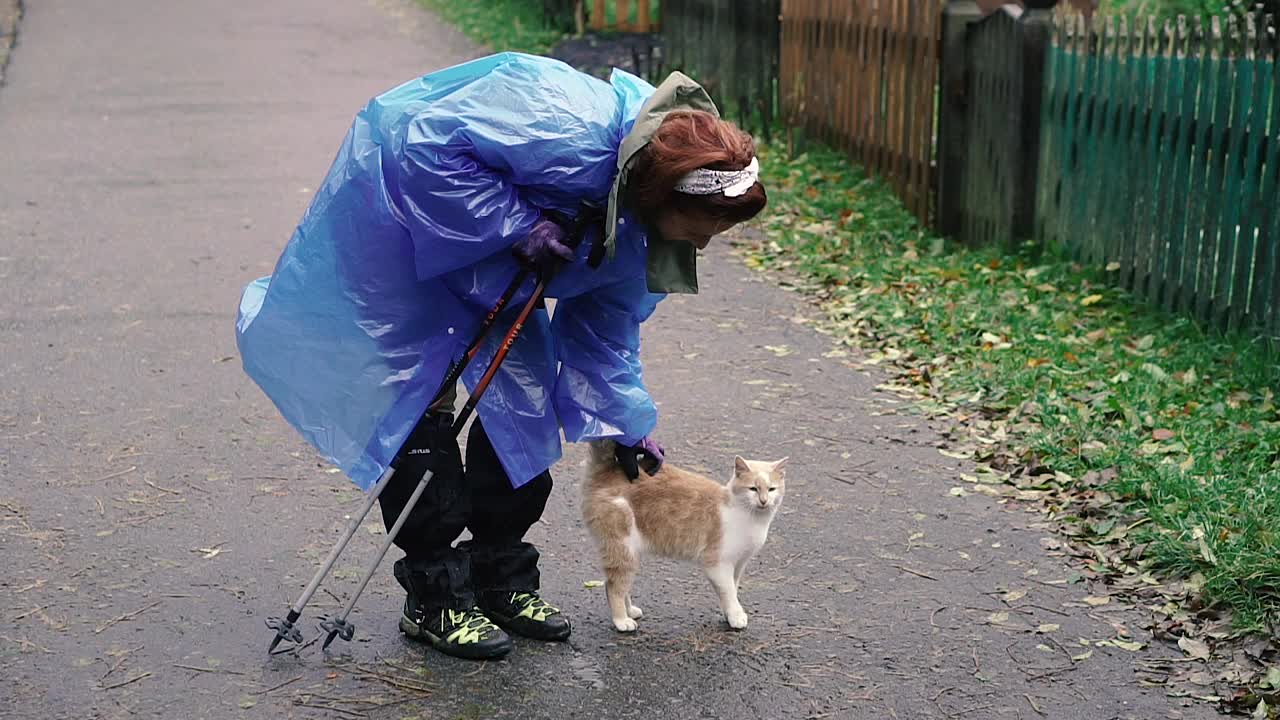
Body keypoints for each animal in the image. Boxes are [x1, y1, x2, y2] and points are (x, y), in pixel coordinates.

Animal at [583, 440, 783, 630]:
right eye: (753, 489)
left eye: (772, 489)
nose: (764, 501)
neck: (750, 519)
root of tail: (607, 469)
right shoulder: (717, 565)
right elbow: (729, 593)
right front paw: (736, 615)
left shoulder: (739, 565)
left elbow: (732, 590)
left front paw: (729, 614)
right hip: (623, 547)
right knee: (613, 586)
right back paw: (621, 621)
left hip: (631, 553)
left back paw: (630, 611)